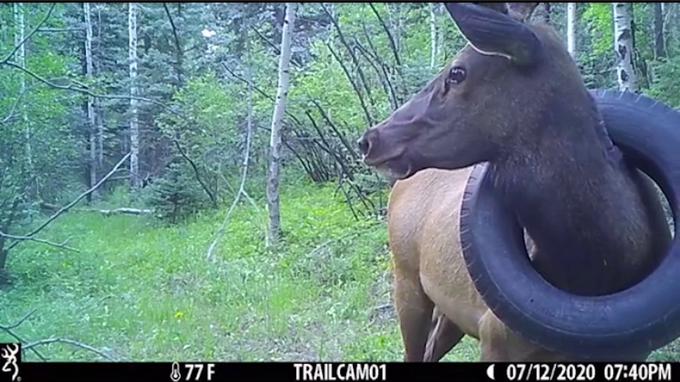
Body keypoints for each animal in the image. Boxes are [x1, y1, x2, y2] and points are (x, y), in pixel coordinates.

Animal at [358, 2, 676, 362]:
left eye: (457, 73)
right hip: (406, 281)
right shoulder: (496, 336)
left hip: (448, 313)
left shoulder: (634, 352)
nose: (370, 139)